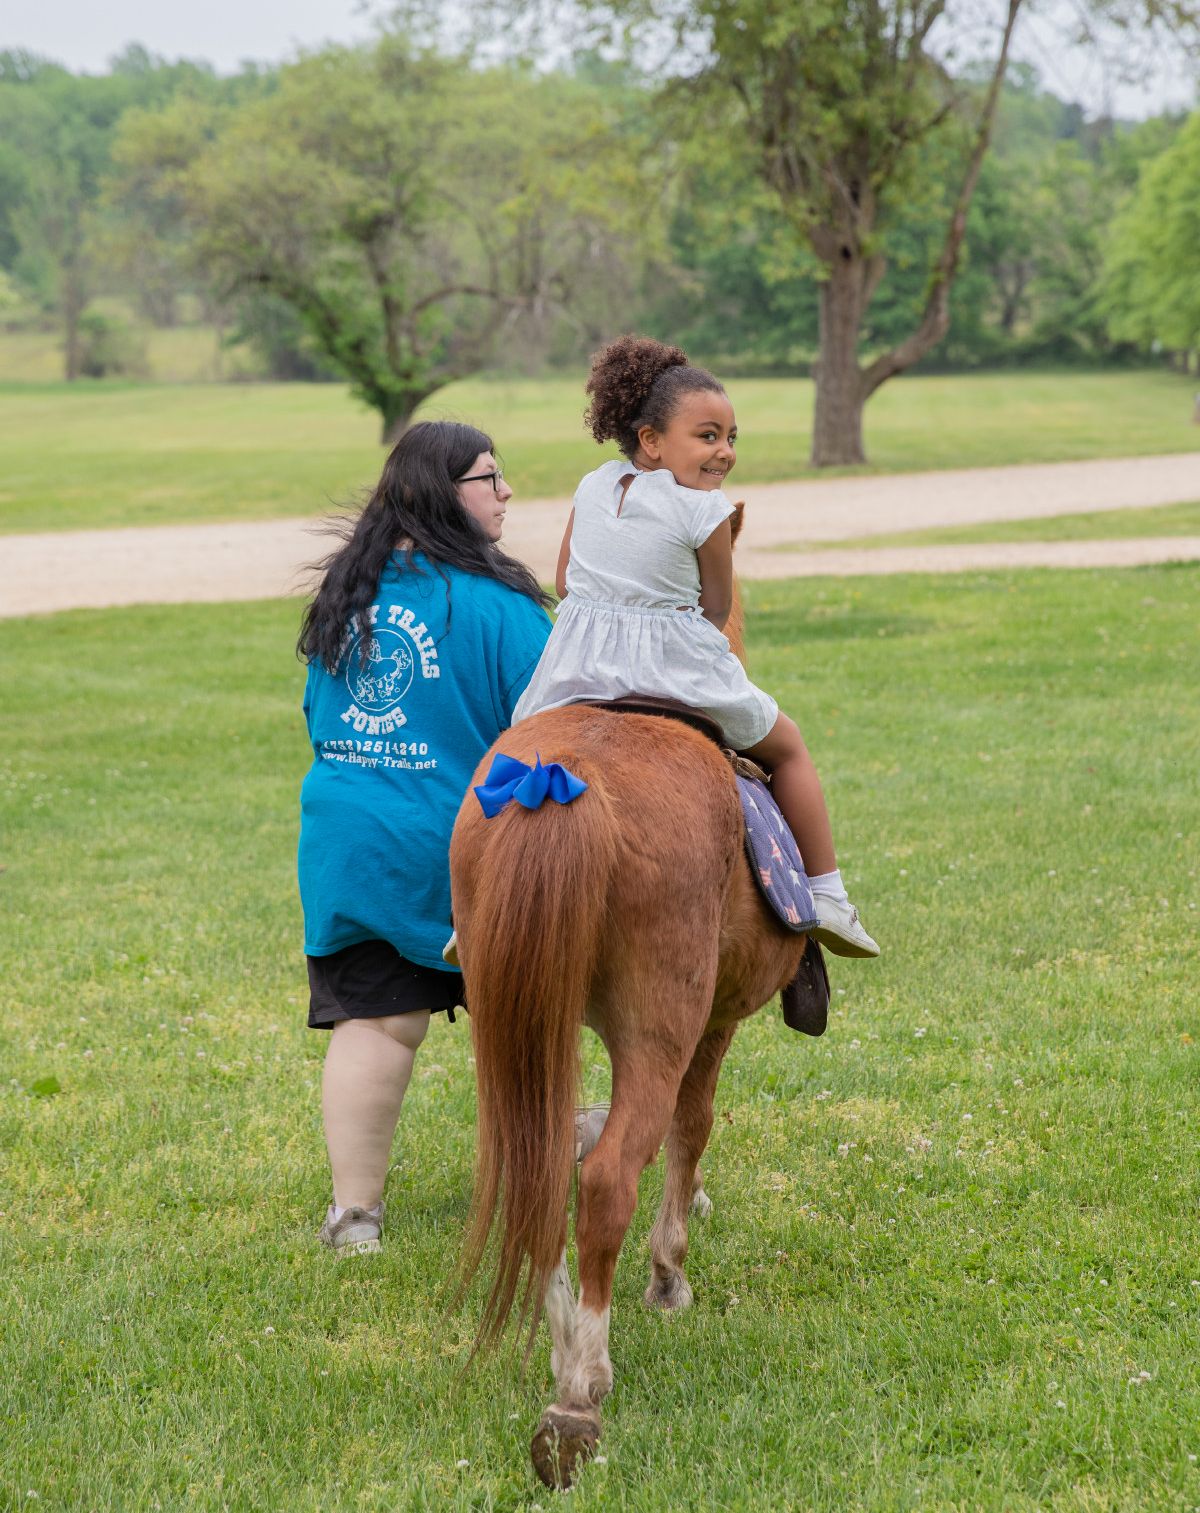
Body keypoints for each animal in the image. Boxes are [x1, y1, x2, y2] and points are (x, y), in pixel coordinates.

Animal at [449, 509, 815, 1489]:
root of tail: (560, 784)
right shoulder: (712, 1021)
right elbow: (690, 1132)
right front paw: (669, 1275)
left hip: (513, 1027)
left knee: (537, 1167)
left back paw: (564, 1339)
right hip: (662, 1022)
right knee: (611, 1173)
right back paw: (580, 1387)